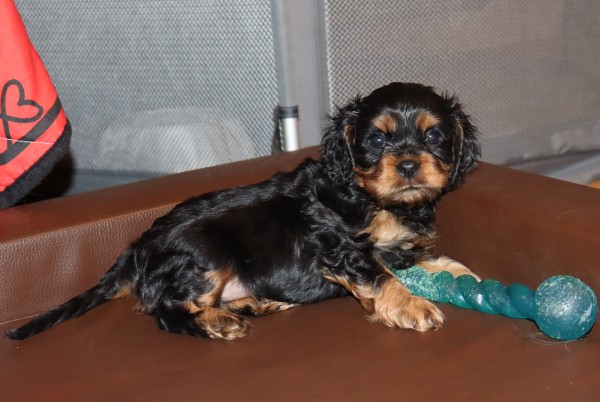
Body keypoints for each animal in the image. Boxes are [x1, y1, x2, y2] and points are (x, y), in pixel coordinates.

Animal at [6, 82, 481, 341]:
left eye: (434, 136)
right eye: (377, 141)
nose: (408, 165)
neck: (373, 198)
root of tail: (137, 250)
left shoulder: (405, 247)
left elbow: (433, 260)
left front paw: (464, 278)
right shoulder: (338, 247)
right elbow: (380, 276)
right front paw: (413, 305)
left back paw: (256, 304)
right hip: (206, 258)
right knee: (167, 312)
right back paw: (220, 323)